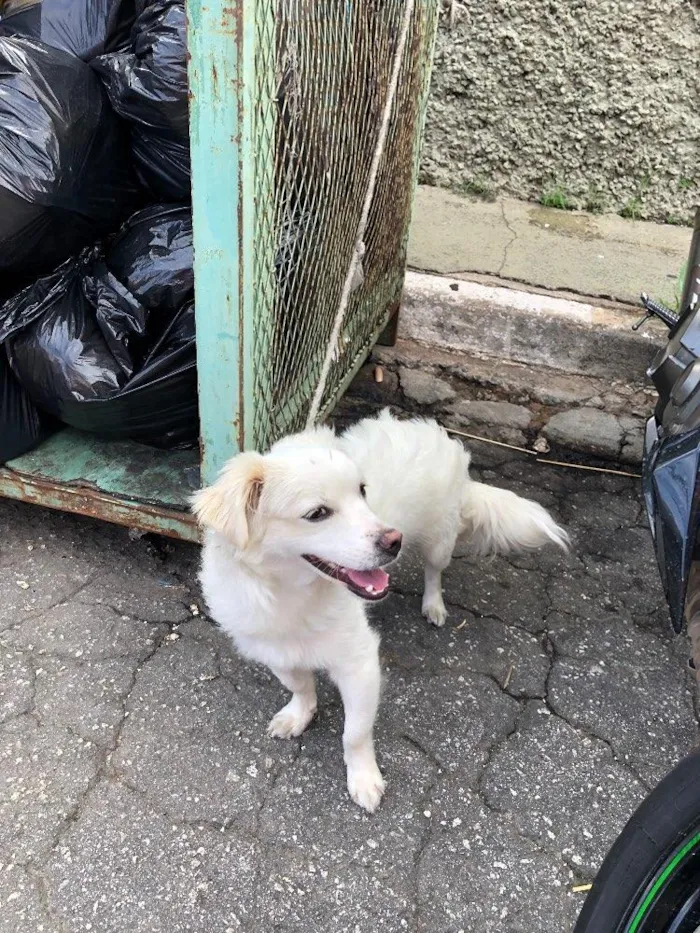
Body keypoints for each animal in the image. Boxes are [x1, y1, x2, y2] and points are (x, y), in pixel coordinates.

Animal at [193, 408, 568, 808]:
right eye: (317, 513)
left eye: (363, 491)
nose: (394, 541)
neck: (290, 596)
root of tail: (430, 429)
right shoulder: (275, 652)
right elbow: (300, 686)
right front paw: (300, 715)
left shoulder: (360, 667)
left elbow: (354, 733)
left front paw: (363, 778)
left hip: (439, 541)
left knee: (434, 571)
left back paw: (433, 605)